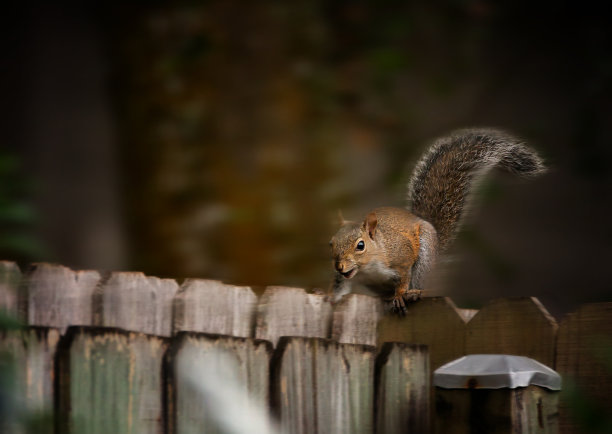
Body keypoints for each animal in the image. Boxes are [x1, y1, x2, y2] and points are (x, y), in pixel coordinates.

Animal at [330, 127, 544, 314]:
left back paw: (415, 293)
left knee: (420, 283)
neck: (367, 267)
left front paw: (400, 295)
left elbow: (404, 279)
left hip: (424, 257)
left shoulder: (401, 259)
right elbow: (340, 285)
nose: (339, 266)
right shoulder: (347, 277)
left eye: (360, 245)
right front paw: (332, 298)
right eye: (331, 244)